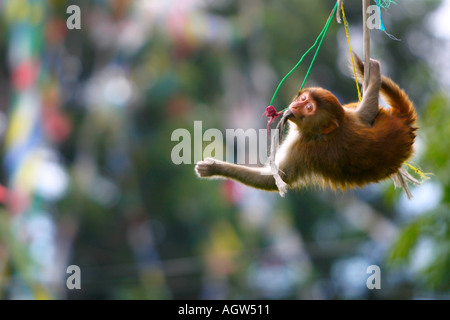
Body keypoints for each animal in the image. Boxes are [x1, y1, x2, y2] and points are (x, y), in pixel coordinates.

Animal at [195, 52, 420, 196]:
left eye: (309, 107)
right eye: (303, 99)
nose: (295, 105)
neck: (324, 132)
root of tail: (403, 125)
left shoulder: (303, 149)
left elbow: (276, 180)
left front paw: (215, 168)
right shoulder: (350, 119)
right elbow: (365, 113)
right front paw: (373, 75)